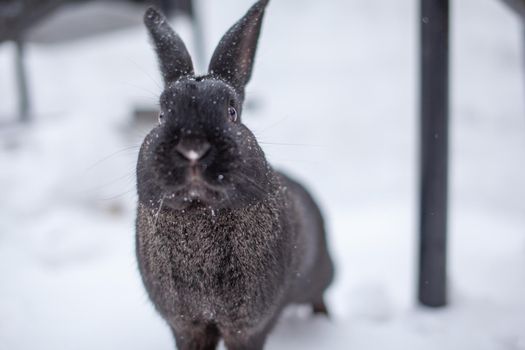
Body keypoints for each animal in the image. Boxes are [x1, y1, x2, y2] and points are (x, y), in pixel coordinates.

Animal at [135, 1, 332, 348]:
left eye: (232, 112)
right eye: (160, 115)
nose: (193, 147)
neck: (200, 210)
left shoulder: (249, 327)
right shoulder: (187, 326)